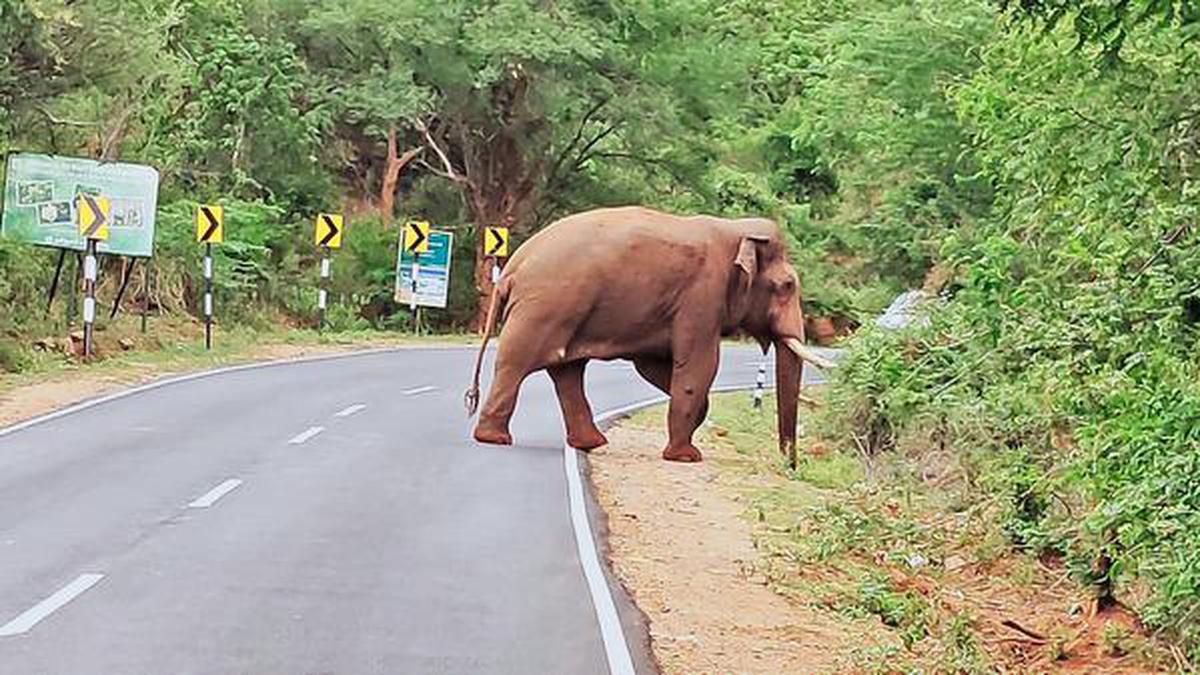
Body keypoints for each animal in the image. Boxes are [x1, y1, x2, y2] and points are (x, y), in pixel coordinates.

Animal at [463, 201, 830, 458]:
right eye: (786, 286)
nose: (789, 463)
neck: (735, 231)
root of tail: (512, 268)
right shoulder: (701, 296)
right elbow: (699, 364)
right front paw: (686, 457)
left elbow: (653, 365)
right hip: (545, 307)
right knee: (518, 361)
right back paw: (494, 438)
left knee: (566, 371)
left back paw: (590, 443)